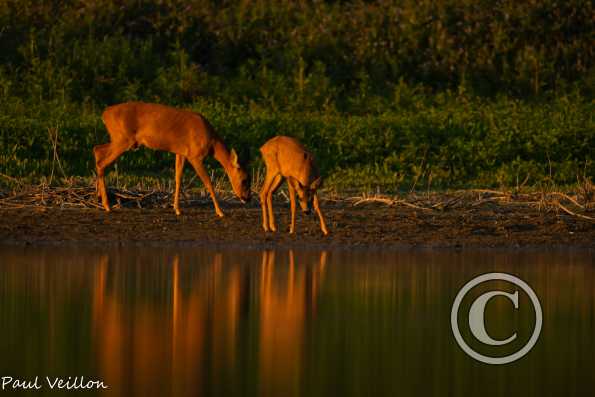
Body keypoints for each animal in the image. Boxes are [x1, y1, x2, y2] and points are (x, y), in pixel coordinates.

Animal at [93, 100, 251, 215]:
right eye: (244, 180)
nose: (247, 198)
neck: (212, 142)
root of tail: (104, 114)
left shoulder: (181, 153)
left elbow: (178, 179)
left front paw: (177, 209)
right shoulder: (195, 155)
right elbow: (208, 183)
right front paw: (220, 212)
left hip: (119, 139)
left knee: (97, 150)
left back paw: (99, 197)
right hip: (123, 139)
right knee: (101, 161)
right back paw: (106, 205)